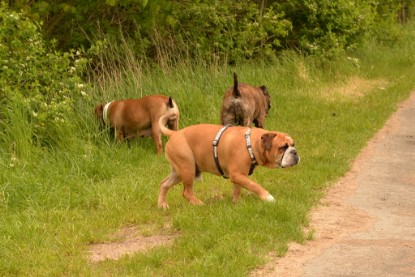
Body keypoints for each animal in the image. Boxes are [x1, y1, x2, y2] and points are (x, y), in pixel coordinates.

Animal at [157, 112, 300, 207]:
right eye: (282, 147)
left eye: (293, 144)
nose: (295, 152)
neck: (251, 144)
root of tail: (175, 133)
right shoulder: (237, 174)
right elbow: (254, 185)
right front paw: (267, 197)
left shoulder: (239, 175)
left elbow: (238, 189)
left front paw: (237, 203)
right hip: (188, 169)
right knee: (186, 192)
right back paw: (199, 204)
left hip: (179, 172)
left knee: (164, 184)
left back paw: (162, 205)